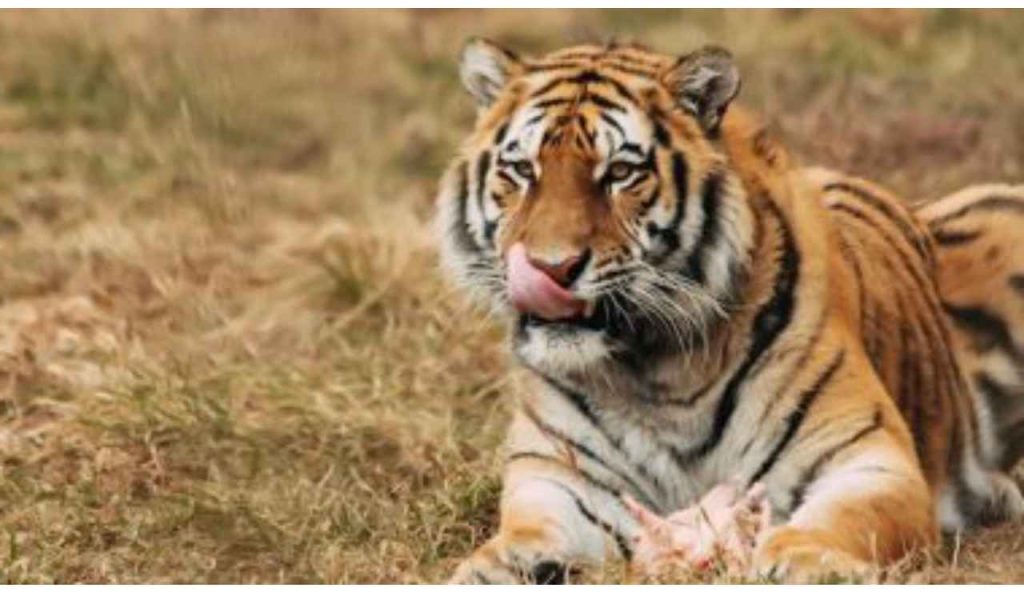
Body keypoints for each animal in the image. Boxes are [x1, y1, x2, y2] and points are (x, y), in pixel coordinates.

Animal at [434, 38, 1024, 583]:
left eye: (621, 172)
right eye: (521, 170)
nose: (550, 268)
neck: (654, 369)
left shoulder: (867, 458)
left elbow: (836, 522)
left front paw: (803, 561)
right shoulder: (557, 481)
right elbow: (512, 546)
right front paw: (490, 568)